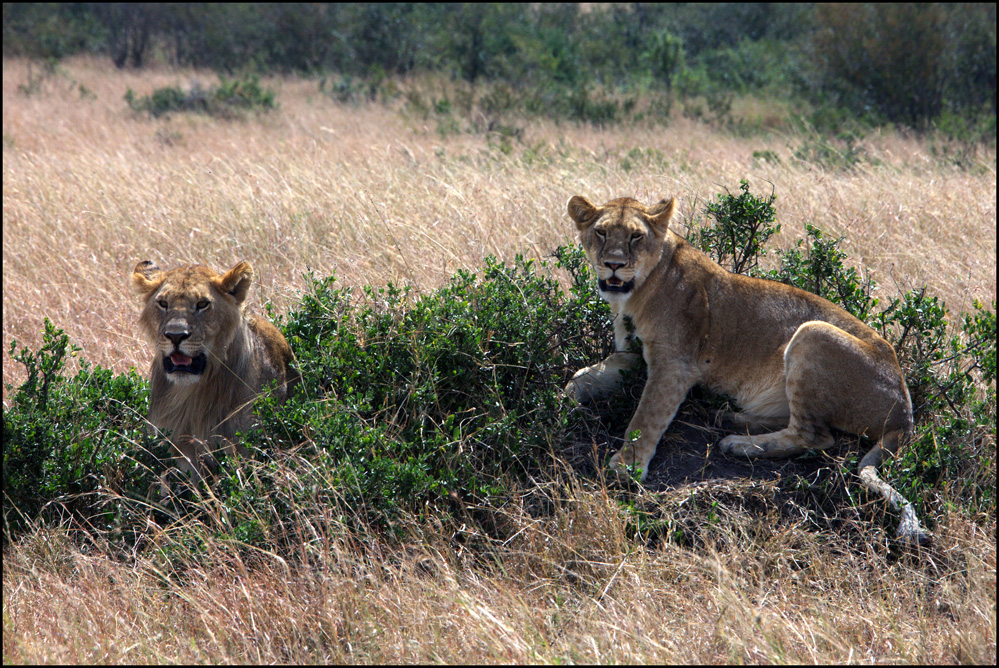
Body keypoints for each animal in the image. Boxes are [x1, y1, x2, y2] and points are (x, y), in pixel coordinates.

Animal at [131, 260, 298, 480]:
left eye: (202, 304)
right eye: (163, 304)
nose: (175, 336)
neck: (192, 396)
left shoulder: (244, 448)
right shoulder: (182, 451)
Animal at [568, 192, 932, 544]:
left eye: (636, 236)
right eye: (601, 232)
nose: (613, 265)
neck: (637, 292)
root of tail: (905, 413)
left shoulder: (675, 364)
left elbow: (645, 417)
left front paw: (627, 466)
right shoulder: (628, 355)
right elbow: (577, 381)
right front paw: (571, 399)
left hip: (812, 333)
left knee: (815, 436)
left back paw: (738, 443)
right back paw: (730, 418)